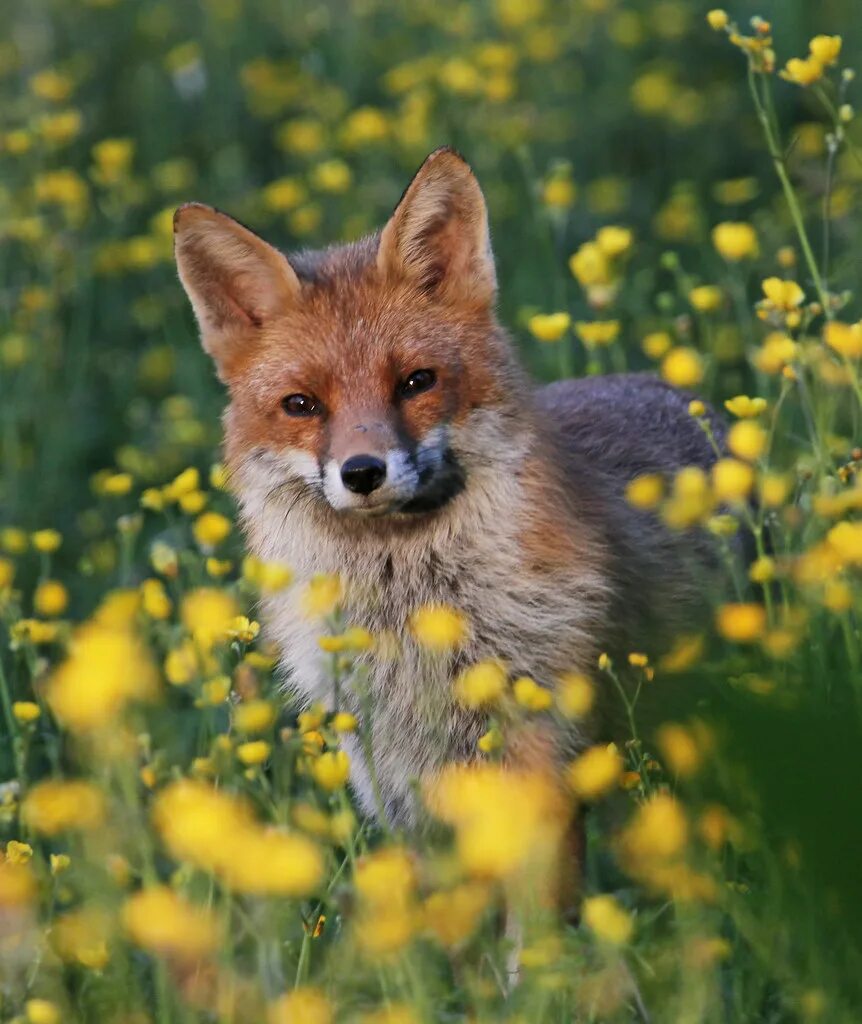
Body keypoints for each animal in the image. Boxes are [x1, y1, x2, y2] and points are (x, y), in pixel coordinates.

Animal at [170, 146, 720, 831]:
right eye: (301, 405)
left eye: (416, 382)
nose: (362, 473)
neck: (415, 624)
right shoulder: (396, 790)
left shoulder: (538, 762)